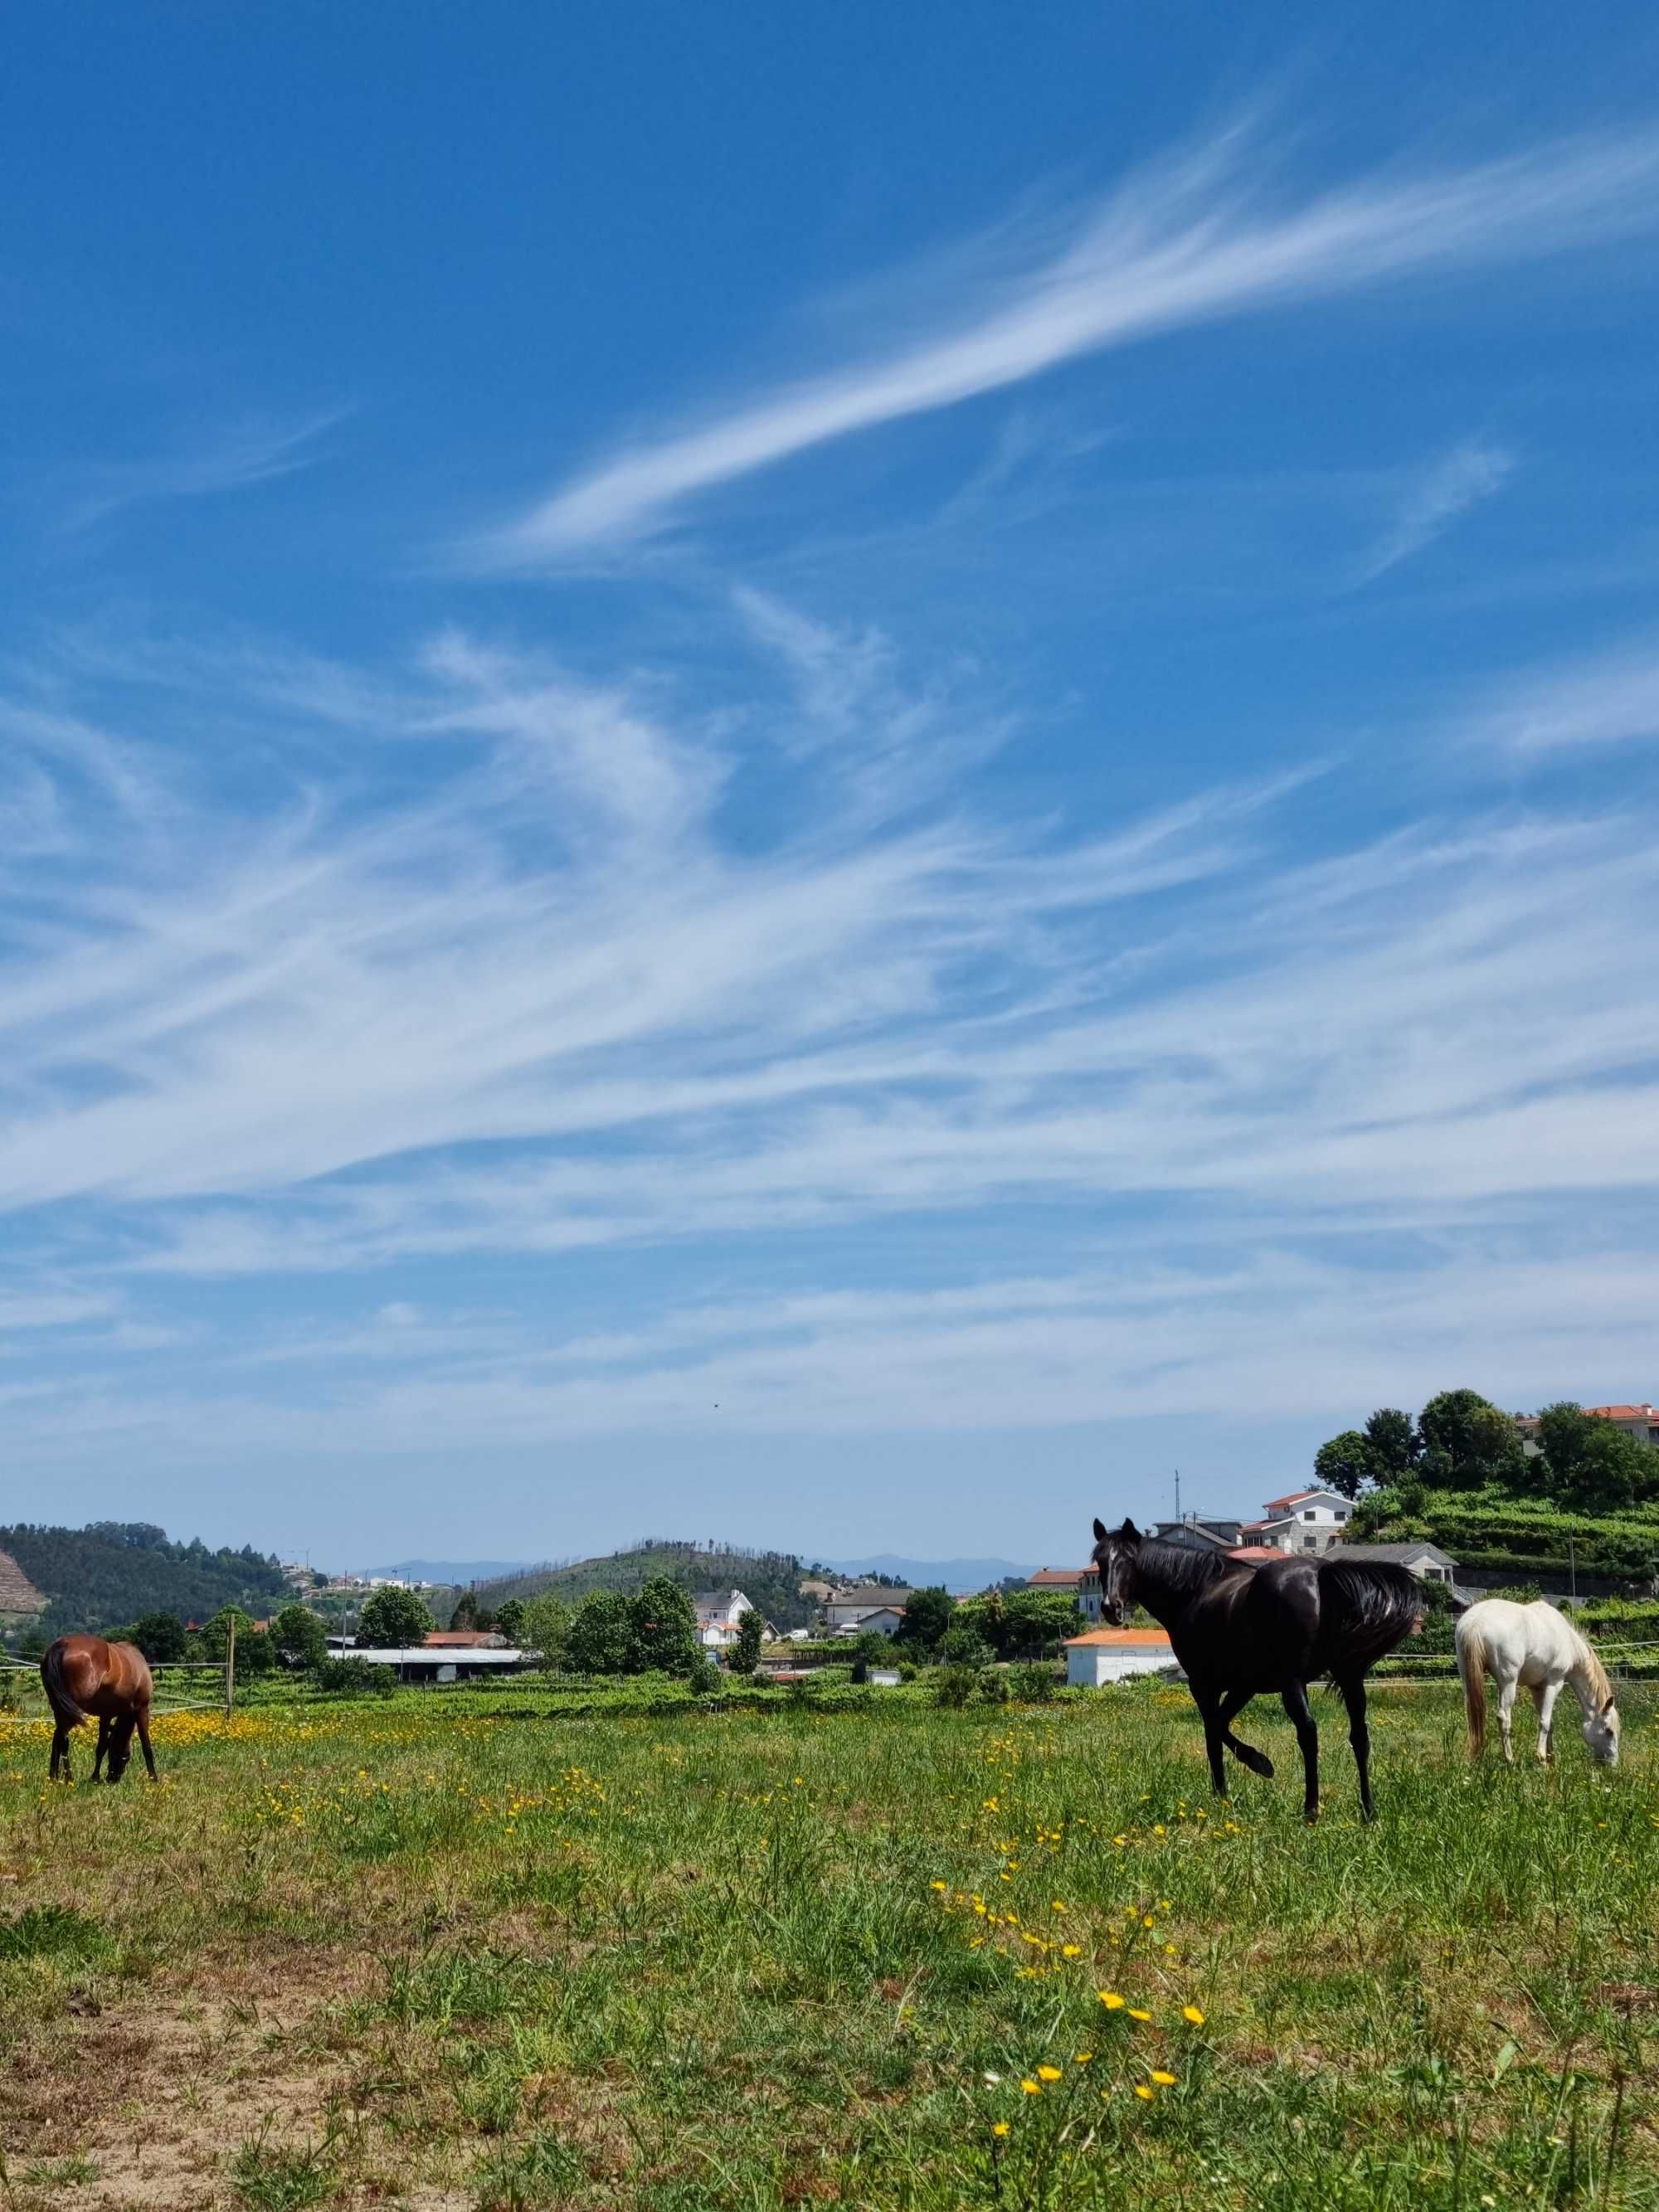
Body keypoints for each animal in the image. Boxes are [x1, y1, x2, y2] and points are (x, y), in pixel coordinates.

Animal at [40, 1636, 159, 1787]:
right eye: (126, 1758)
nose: (112, 1778)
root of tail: (62, 1645)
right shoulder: (142, 1709)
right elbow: (146, 1746)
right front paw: (154, 1778)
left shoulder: (106, 1715)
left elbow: (101, 1747)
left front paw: (95, 1777)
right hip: (71, 1712)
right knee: (62, 1739)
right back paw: (67, 1778)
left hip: (59, 1709)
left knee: (59, 1739)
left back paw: (54, 1778)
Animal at [1092, 1513, 1433, 1822]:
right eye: (1100, 1561)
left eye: (1129, 1560)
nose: (1111, 1607)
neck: (1194, 1591)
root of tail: (1321, 1573)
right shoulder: (1243, 1686)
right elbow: (1222, 1725)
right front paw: (1254, 1764)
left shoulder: (1203, 1685)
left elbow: (1213, 1734)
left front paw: (1231, 1786)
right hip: (1349, 1677)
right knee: (1359, 1737)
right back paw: (1368, 1811)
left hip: (1293, 1682)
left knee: (1308, 1733)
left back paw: (1311, 1810)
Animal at [1451, 1601, 1627, 1769]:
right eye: (1609, 1731)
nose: (1612, 1764)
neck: (1569, 1641)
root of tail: (1475, 1623)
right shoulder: (1554, 1684)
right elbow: (1545, 1721)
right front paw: (1542, 1759)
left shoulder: (1536, 1688)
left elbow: (1548, 1722)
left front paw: (1551, 1758)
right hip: (1508, 1683)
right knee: (1504, 1718)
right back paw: (1510, 1760)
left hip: (1468, 1679)